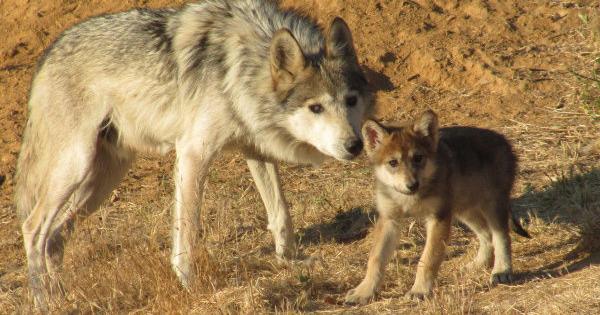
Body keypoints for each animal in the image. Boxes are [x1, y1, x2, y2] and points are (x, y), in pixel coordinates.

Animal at [15, 0, 370, 308]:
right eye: (316, 108)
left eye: (351, 100)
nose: (355, 145)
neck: (242, 64)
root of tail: (47, 54)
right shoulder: (193, 152)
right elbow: (187, 231)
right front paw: (189, 285)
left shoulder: (254, 148)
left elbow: (280, 213)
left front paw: (291, 260)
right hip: (76, 167)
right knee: (33, 229)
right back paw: (44, 302)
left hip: (102, 180)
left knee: (54, 238)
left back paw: (64, 298)